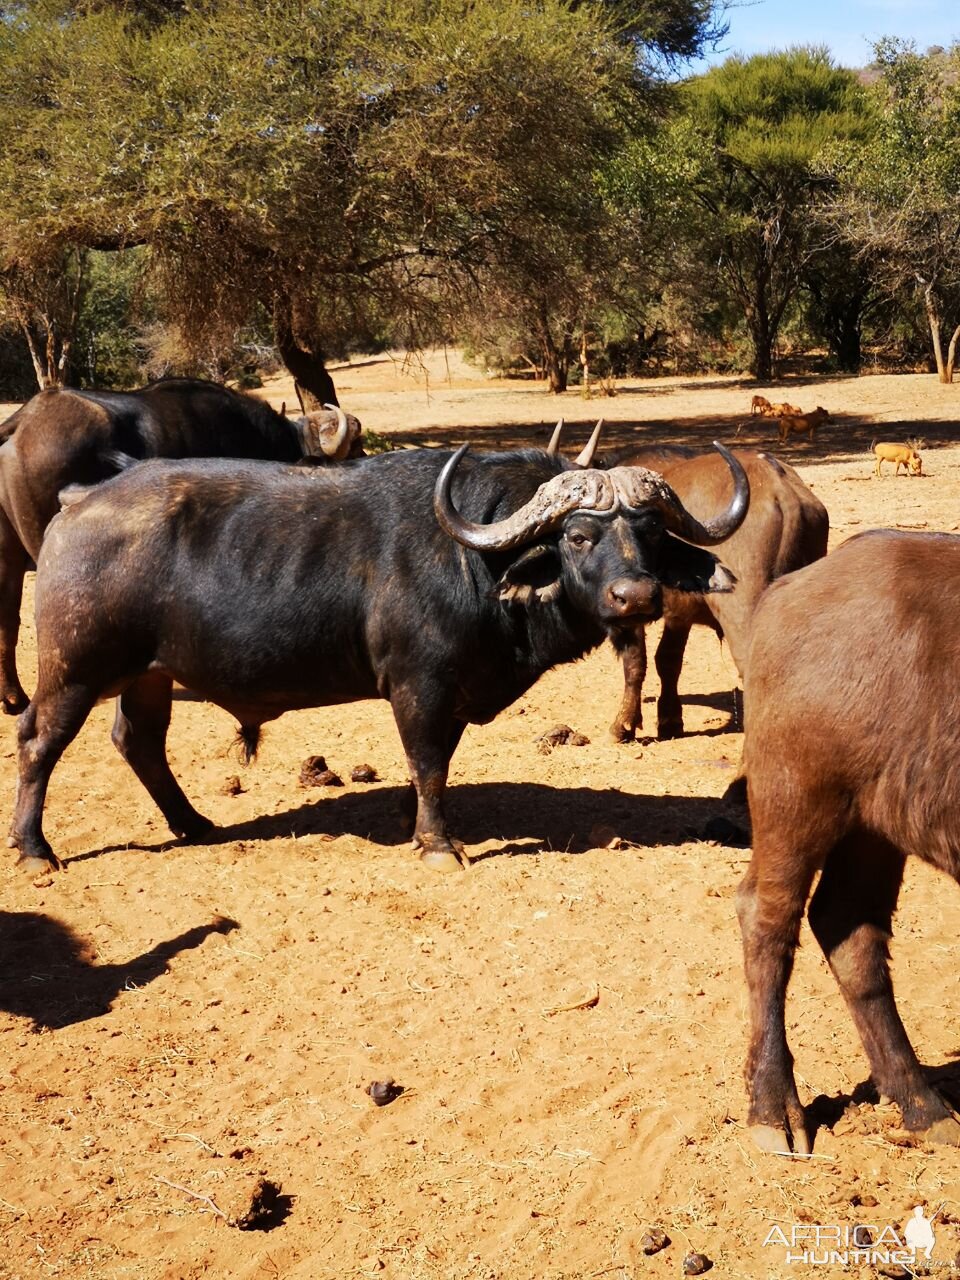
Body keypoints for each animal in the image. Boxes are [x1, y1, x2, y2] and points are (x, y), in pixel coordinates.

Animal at [11, 445, 752, 875]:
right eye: (577, 535)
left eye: (650, 533)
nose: (637, 596)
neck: (475, 561)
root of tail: (78, 504)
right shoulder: (417, 685)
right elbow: (427, 762)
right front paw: (438, 844)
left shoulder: (456, 692)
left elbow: (438, 762)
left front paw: (413, 820)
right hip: (74, 670)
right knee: (38, 742)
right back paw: (35, 849)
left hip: (151, 676)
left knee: (138, 741)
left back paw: (193, 823)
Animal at [609, 450, 829, 747]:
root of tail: (779, 487)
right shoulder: (679, 616)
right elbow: (667, 660)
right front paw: (670, 720)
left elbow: (635, 661)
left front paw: (624, 725)